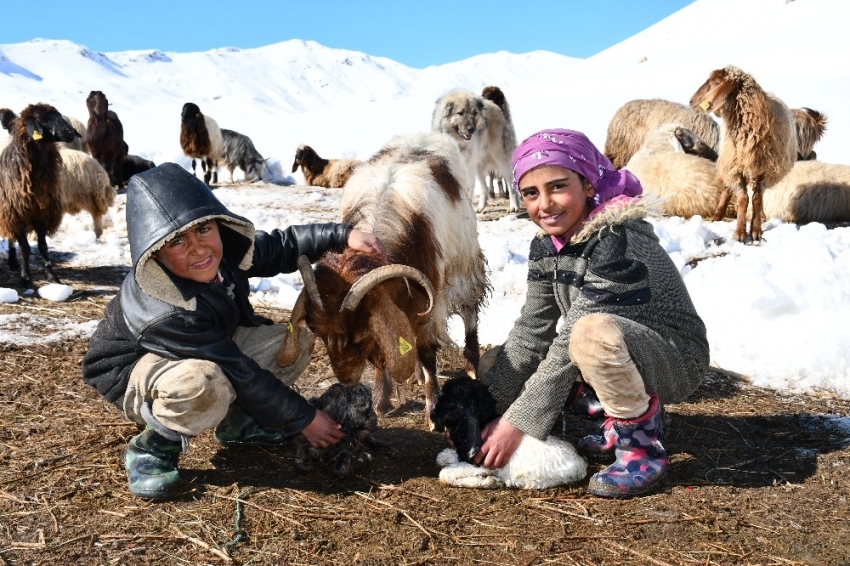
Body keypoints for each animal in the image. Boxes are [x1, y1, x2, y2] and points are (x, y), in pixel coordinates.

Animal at [0, 103, 79, 284]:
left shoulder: (41, 213)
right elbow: (25, 248)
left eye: (58, 115)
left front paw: (51, 275)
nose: (70, 132)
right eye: (42, 119)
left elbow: (43, 246)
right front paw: (25, 277)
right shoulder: (18, 214)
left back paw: (13, 262)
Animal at [276, 132, 490, 426]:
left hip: (465, 264)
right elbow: (383, 355)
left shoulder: (429, 307)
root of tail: (426, 135)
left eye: (359, 334)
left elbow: (427, 353)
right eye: (319, 334)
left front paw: (432, 411)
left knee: (470, 314)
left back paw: (470, 367)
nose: (347, 379)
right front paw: (380, 399)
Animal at [430, 380, 584, 494]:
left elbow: (445, 474)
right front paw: (448, 455)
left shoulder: (484, 464)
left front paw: (489, 482)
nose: (432, 414)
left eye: (450, 402)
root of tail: (581, 464)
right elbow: (441, 458)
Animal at [688, 65, 796, 243]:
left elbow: (757, 198)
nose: (691, 101)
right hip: (729, 162)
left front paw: (756, 230)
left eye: (715, 83)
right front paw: (739, 232)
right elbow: (743, 198)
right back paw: (717, 214)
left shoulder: (766, 169)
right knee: (727, 189)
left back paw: (761, 216)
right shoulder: (735, 168)